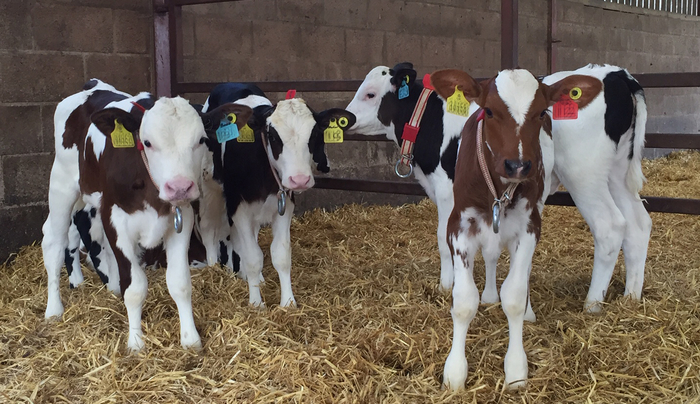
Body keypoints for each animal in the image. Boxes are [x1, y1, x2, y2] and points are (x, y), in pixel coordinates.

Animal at [42, 79, 252, 351]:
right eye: (148, 142)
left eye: (201, 140)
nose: (180, 187)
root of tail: (93, 85)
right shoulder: (115, 219)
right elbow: (135, 288)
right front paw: (135, 342)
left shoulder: (181, 218)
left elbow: (180, 283)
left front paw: (190, 339)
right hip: (62, 183)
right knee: (54, 242)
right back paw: (54, 309)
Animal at [200, 83, 356, 308]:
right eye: (273, 136)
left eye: (315, 134)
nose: (299, 179)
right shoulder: (239, 207)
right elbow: (253, 257)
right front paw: (256, 303)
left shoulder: (284, 205)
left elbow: (280, 255)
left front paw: (288, 303)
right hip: (209, 189)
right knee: (209, 228)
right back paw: (215, 268)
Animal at [431, 68, 601, 390]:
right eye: (489, 111)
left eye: (541, 112)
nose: (518, 165)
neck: (498, 191)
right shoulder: (459, 225)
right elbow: (464, 301)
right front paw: (455, 372)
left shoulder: (529, 225)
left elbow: (514, 296)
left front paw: (516, 369)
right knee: (491, 256)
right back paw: (488, 295)